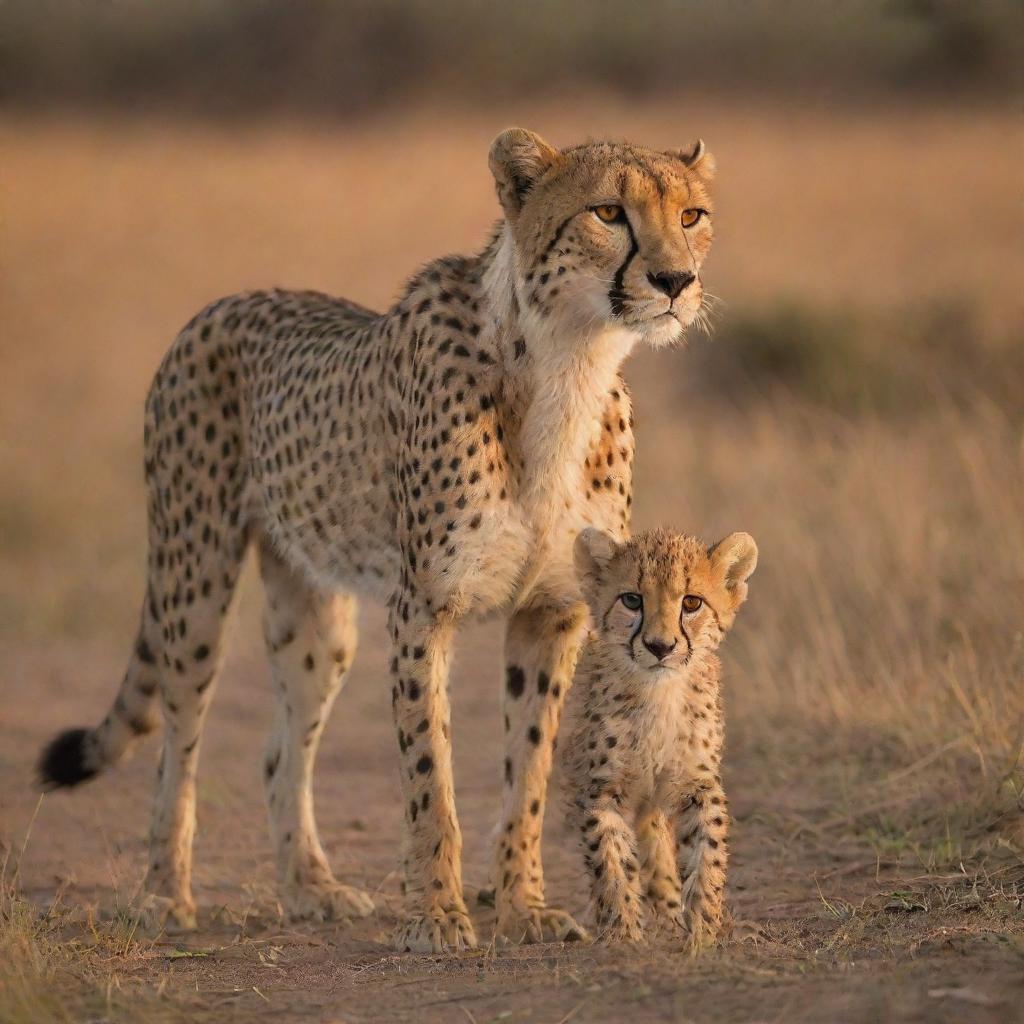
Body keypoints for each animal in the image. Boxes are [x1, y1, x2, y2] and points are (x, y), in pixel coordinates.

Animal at [37, 128, 712, 950]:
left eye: (693, 214)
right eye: (609, 212)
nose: (676, 280)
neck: (566, 362)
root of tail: (224, 303)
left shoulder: (551, 614)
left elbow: (529, 772)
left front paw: (524, 907)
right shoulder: (423, 607)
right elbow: (431, 777)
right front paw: (438, 915)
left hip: (316, 615)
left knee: (278, 754)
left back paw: (310, 886)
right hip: (191, 582)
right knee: (178, 748)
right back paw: (166, 893)